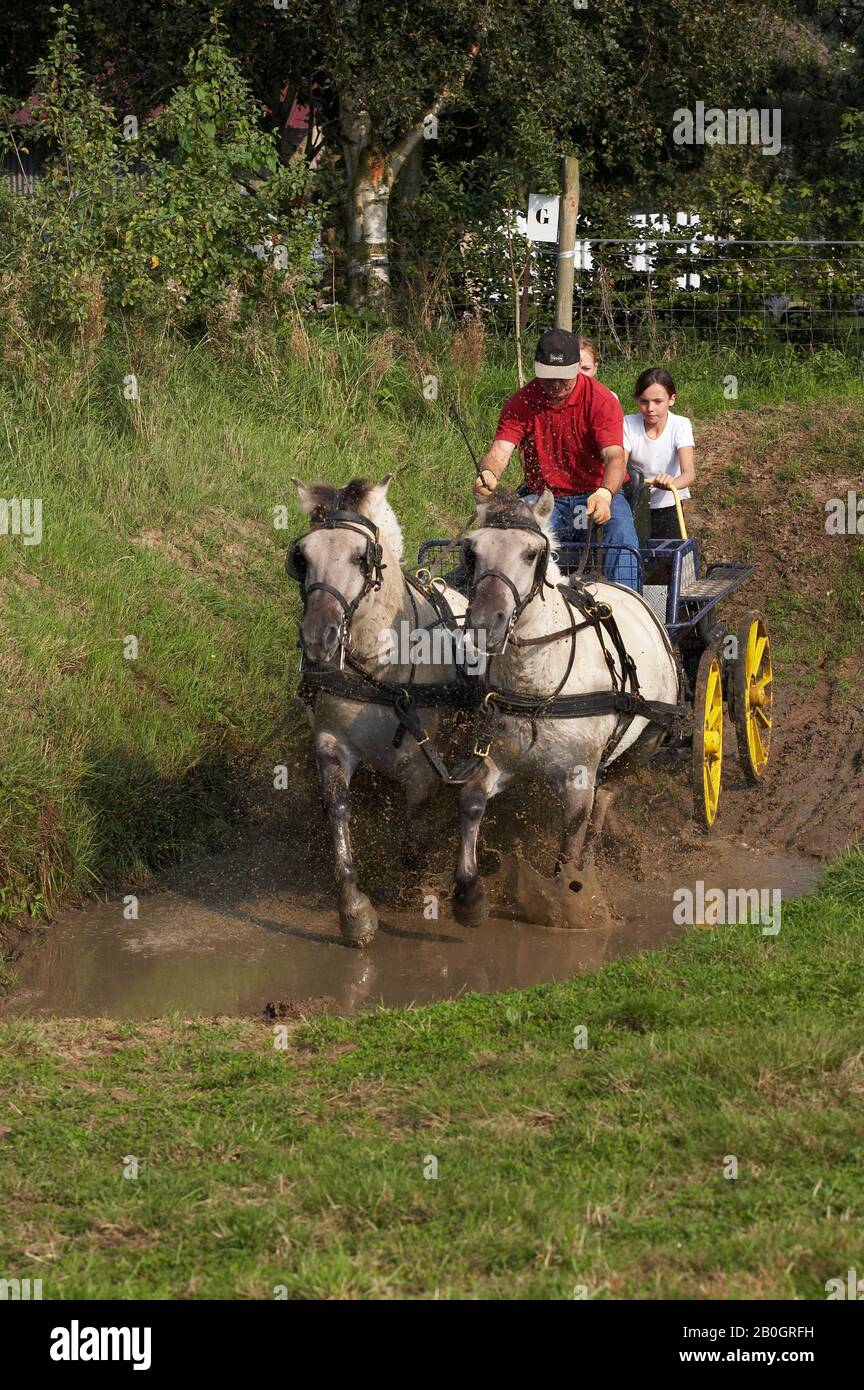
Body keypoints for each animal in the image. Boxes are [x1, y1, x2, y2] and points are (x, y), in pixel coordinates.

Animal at [291, 475, 469, 945]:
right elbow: (338, 811)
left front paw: (414, 886)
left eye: (361, 558)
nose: (317, 638)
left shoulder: (424, 767)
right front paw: (355, 910)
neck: (377, 666)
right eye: (302, 558)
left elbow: (414, 831)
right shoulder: (331, 741)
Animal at [452, 489, 683, 922]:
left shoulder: (579, 776)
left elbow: (572, 837)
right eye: (472, 551)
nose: (484, 623)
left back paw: (586, 871)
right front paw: (469, 894)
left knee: (602, 806)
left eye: (531, 553)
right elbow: (471, 800)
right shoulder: (502, 757)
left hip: (645, 741)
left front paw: (570, 902)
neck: (540, 681)